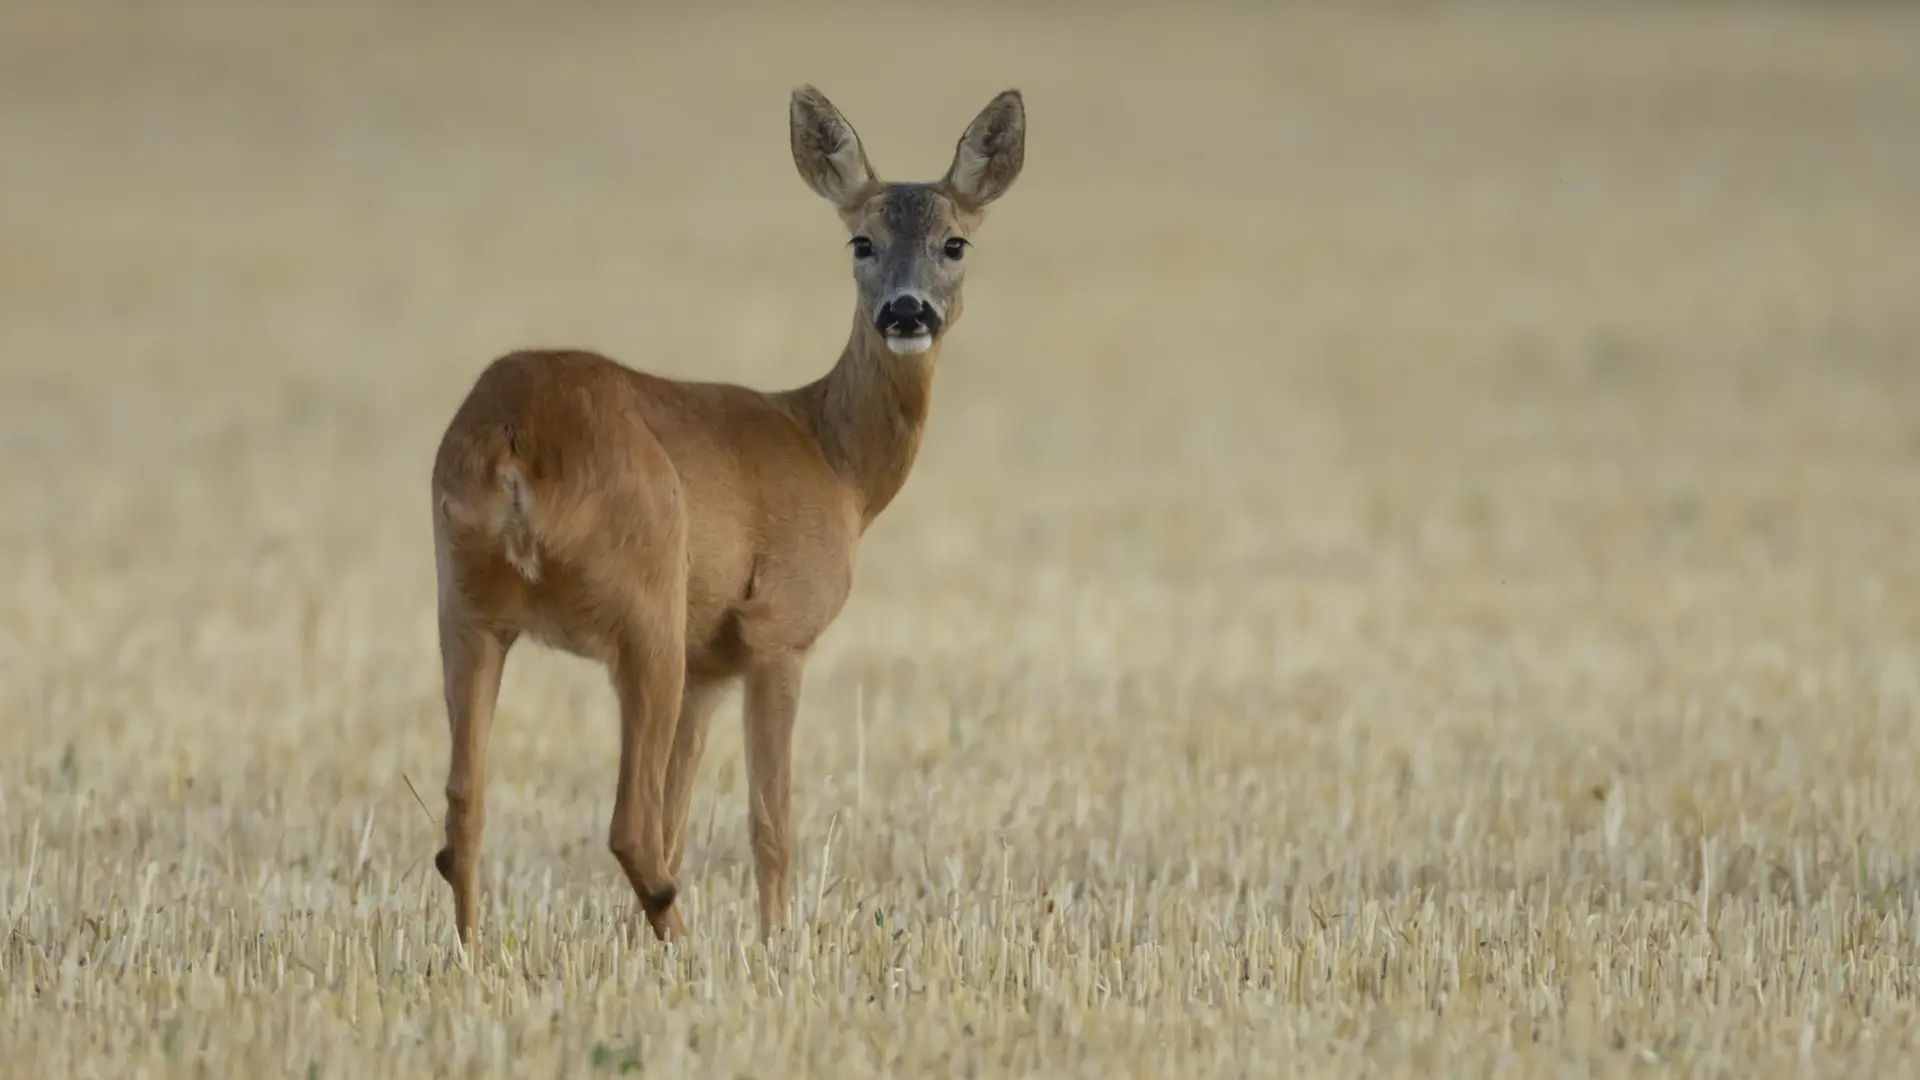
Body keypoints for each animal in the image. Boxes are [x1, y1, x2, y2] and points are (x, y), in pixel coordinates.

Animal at [426, 85, 1026, 947]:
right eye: (861, 241)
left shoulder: (712, 664)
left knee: (466, 811)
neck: (836, 464)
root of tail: (516, 442)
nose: (906, 312)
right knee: (627, 825)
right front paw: (778, 944)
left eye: (955, 243)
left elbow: (682, 817)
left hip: (466, 602)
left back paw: (478, 954)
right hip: (645, 603)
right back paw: (685, 946)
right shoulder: (779, 629)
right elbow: (770, 821)